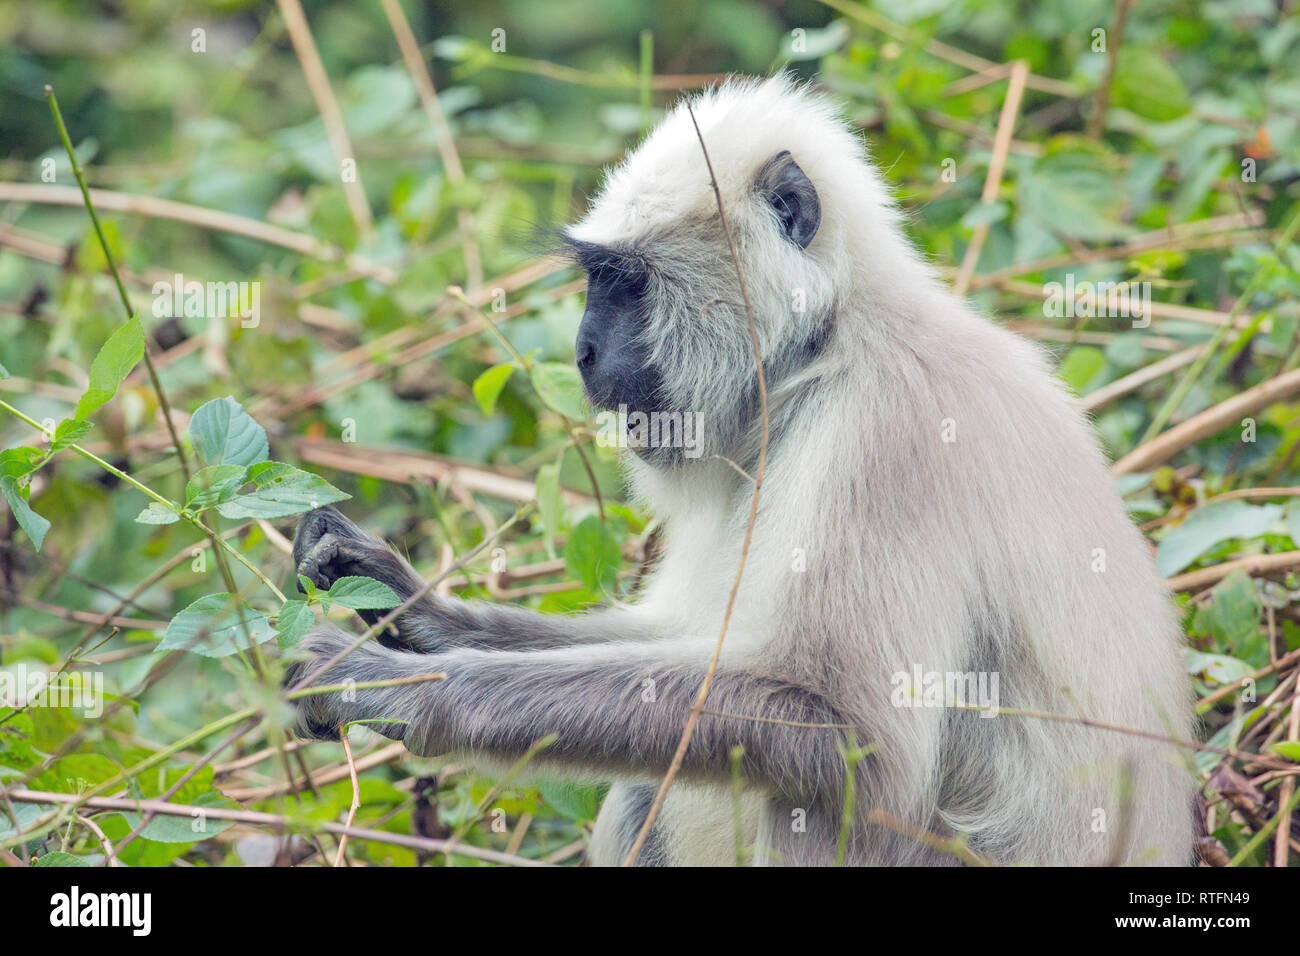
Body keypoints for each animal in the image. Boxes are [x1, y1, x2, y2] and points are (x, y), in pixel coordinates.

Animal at [287, 74, 1196, 868]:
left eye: (623, 283)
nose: (582, 353)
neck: (830, 350)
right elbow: (681, 638)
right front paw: (406, 601)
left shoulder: (885, 435)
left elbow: (850, 728)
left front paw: (401, 686)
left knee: (824, 791)